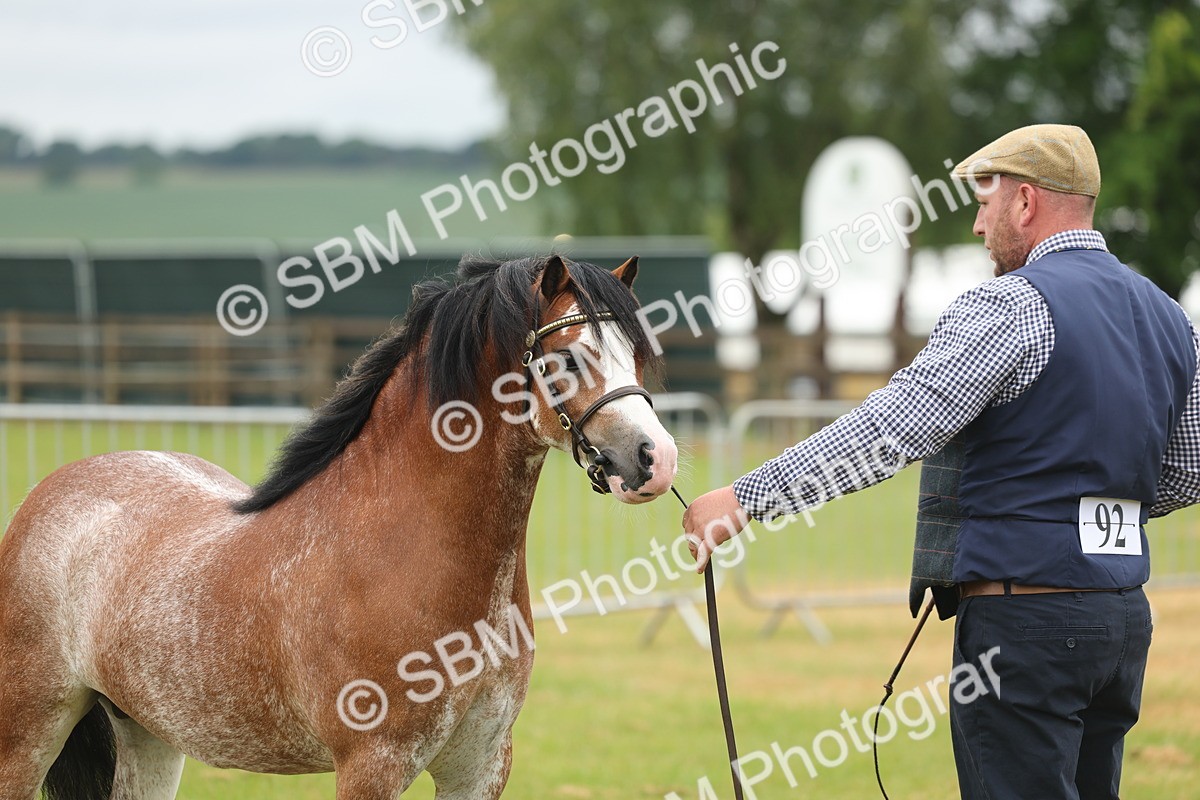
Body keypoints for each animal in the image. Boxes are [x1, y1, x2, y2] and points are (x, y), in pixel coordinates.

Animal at [0, 254, 678, 800]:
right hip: (27, 736)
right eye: (568, 357)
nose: (656, 459)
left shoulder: (481, 765)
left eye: (635, 355)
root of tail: (51, 493)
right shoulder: (370, 767)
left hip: (147, 734)